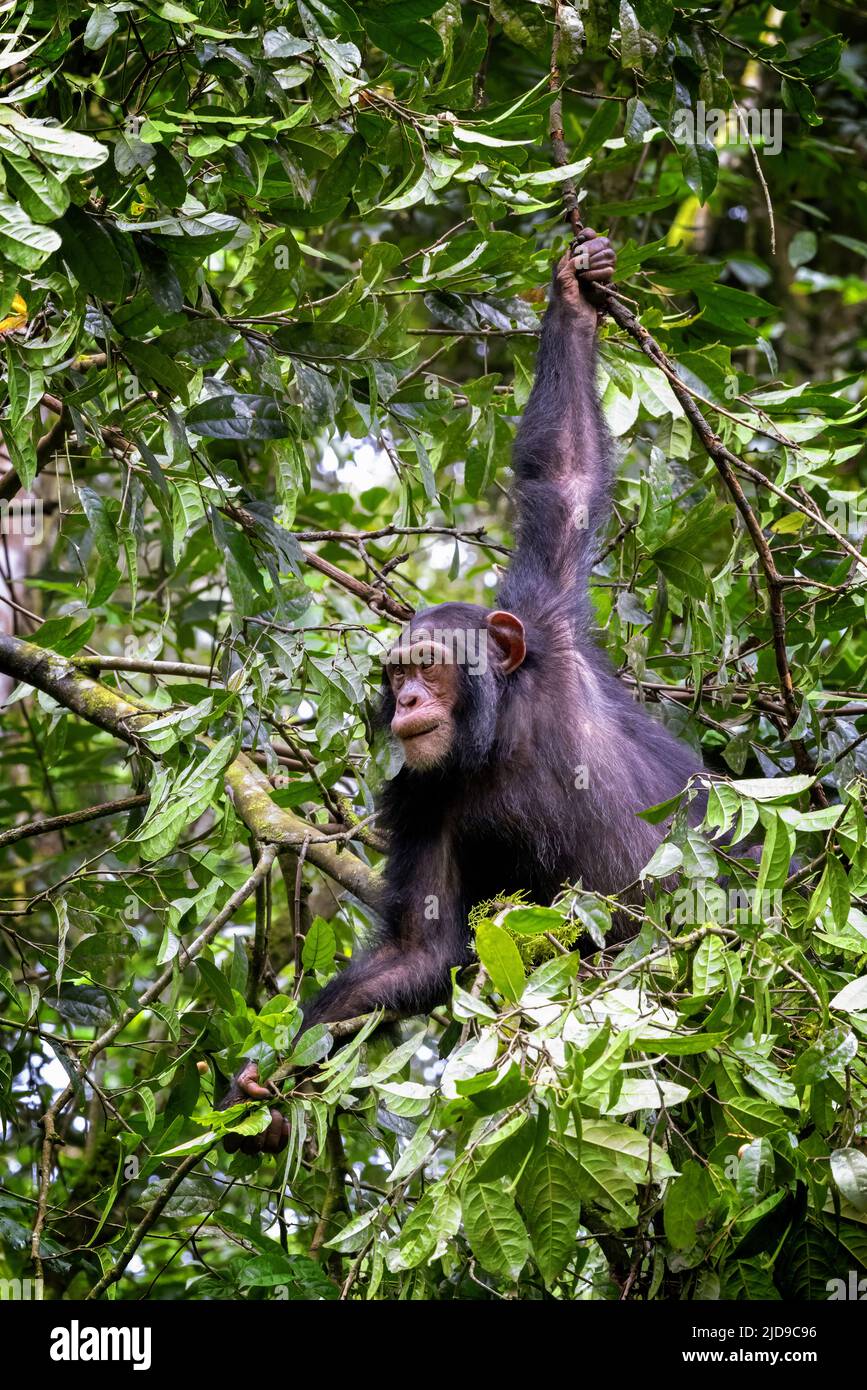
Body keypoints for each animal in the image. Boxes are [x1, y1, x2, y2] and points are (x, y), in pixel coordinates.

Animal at [223, 233, 705, 1156]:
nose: (409, 701)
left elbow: (564, 479)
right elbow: (420, 943)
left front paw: (574, 297)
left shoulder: (546, 619)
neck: (503, 732)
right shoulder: (414, 796)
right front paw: (269, 1083)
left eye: (429, 665)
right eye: (394, 674)